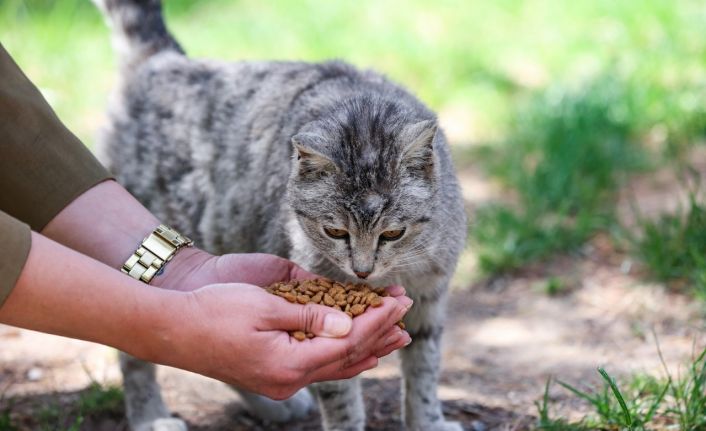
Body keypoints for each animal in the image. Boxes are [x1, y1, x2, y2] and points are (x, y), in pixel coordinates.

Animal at [93, 0, 468, 431]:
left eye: (392, 234)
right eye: (334, 231)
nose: (362, 271)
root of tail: (162, 59)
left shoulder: (431, 297)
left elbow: (424, 370)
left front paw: (429, 421)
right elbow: (342, 398)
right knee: (134, 353)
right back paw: (151, 415)